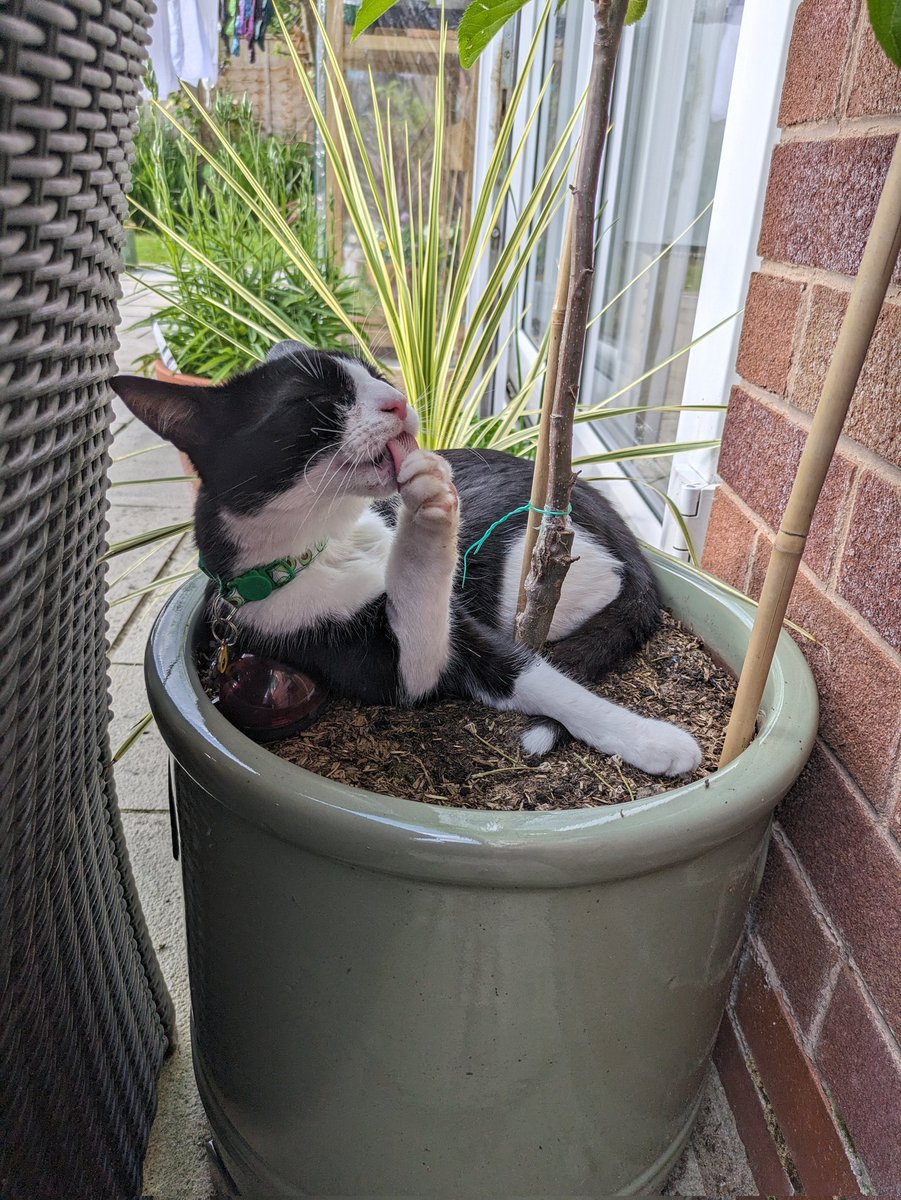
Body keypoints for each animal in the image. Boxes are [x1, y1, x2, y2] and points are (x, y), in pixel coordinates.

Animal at [114, 345, 705, 777]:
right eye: (315, 399)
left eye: (376, 374)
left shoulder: (467, 629)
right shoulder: (371, 662)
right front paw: (429, 508)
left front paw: (652, 739)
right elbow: (421, 637)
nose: (396, 400)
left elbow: (536, 674)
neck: (329, 541)